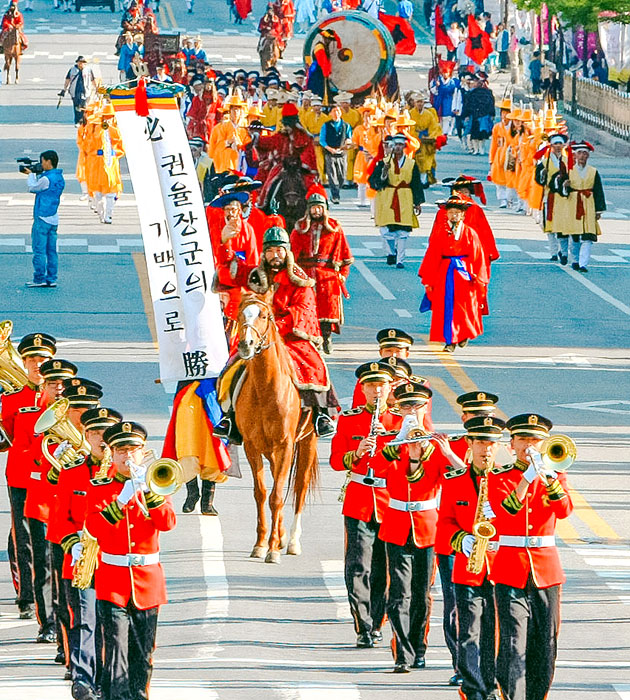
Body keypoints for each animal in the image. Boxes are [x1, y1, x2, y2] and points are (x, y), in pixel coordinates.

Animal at [235, 292, 318, 568]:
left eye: (264, 315)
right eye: (240, 314)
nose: (246, 344)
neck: (266, 389)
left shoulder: (285, 445)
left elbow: (278, 496)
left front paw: (272, 549)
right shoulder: (251, 446)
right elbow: (262, 494)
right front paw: (261, 544)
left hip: (306, 443)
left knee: (299, 488)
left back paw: (291, 541)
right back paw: (280, 536)